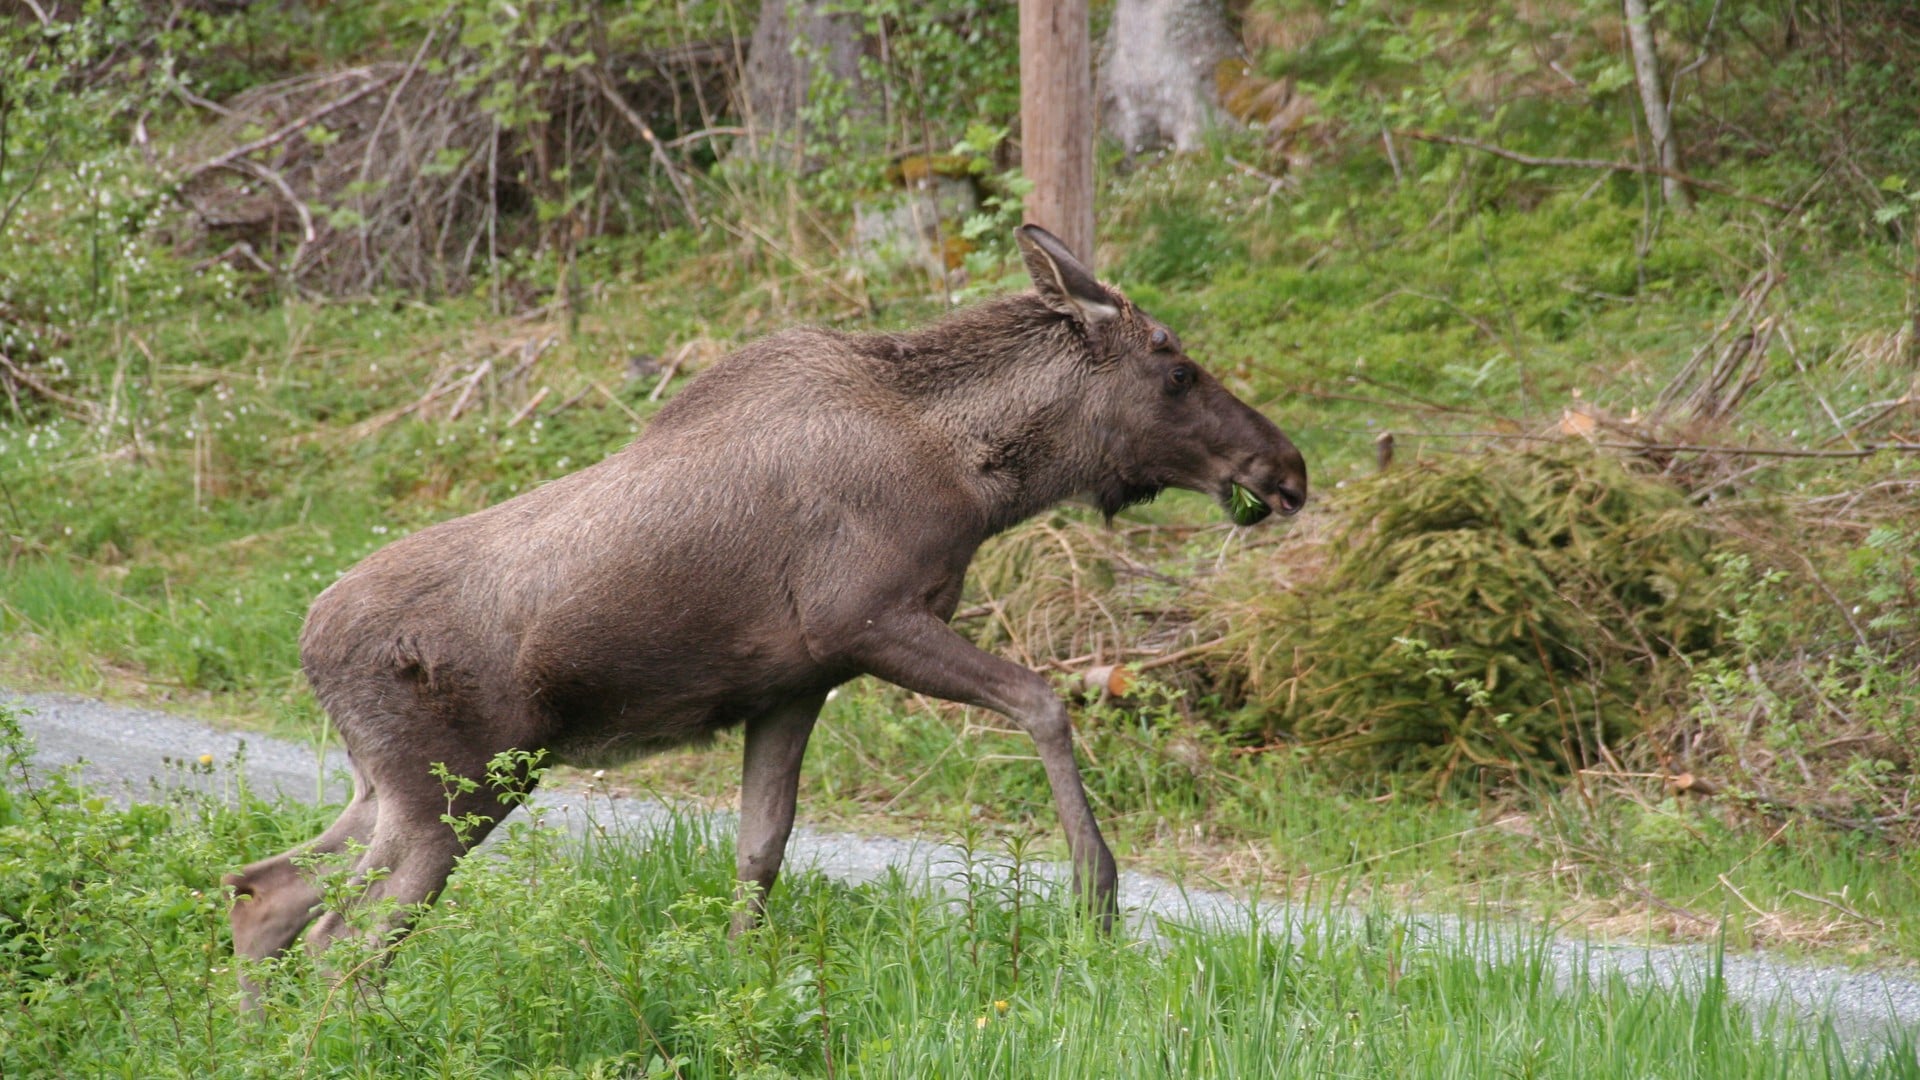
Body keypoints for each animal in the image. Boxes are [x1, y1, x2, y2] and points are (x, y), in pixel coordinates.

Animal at [224, 222, 1305, 960]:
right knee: (340, 944)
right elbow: (1044, 700)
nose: (1288, 467)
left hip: (392, 787)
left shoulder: (795, 682)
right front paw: (1095, 890)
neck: (975, 478)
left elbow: (760, 847)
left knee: (265, 893)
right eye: (1176, 367)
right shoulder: (869, 619)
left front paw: (741, 975)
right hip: (455, 790)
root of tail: (307, 648)